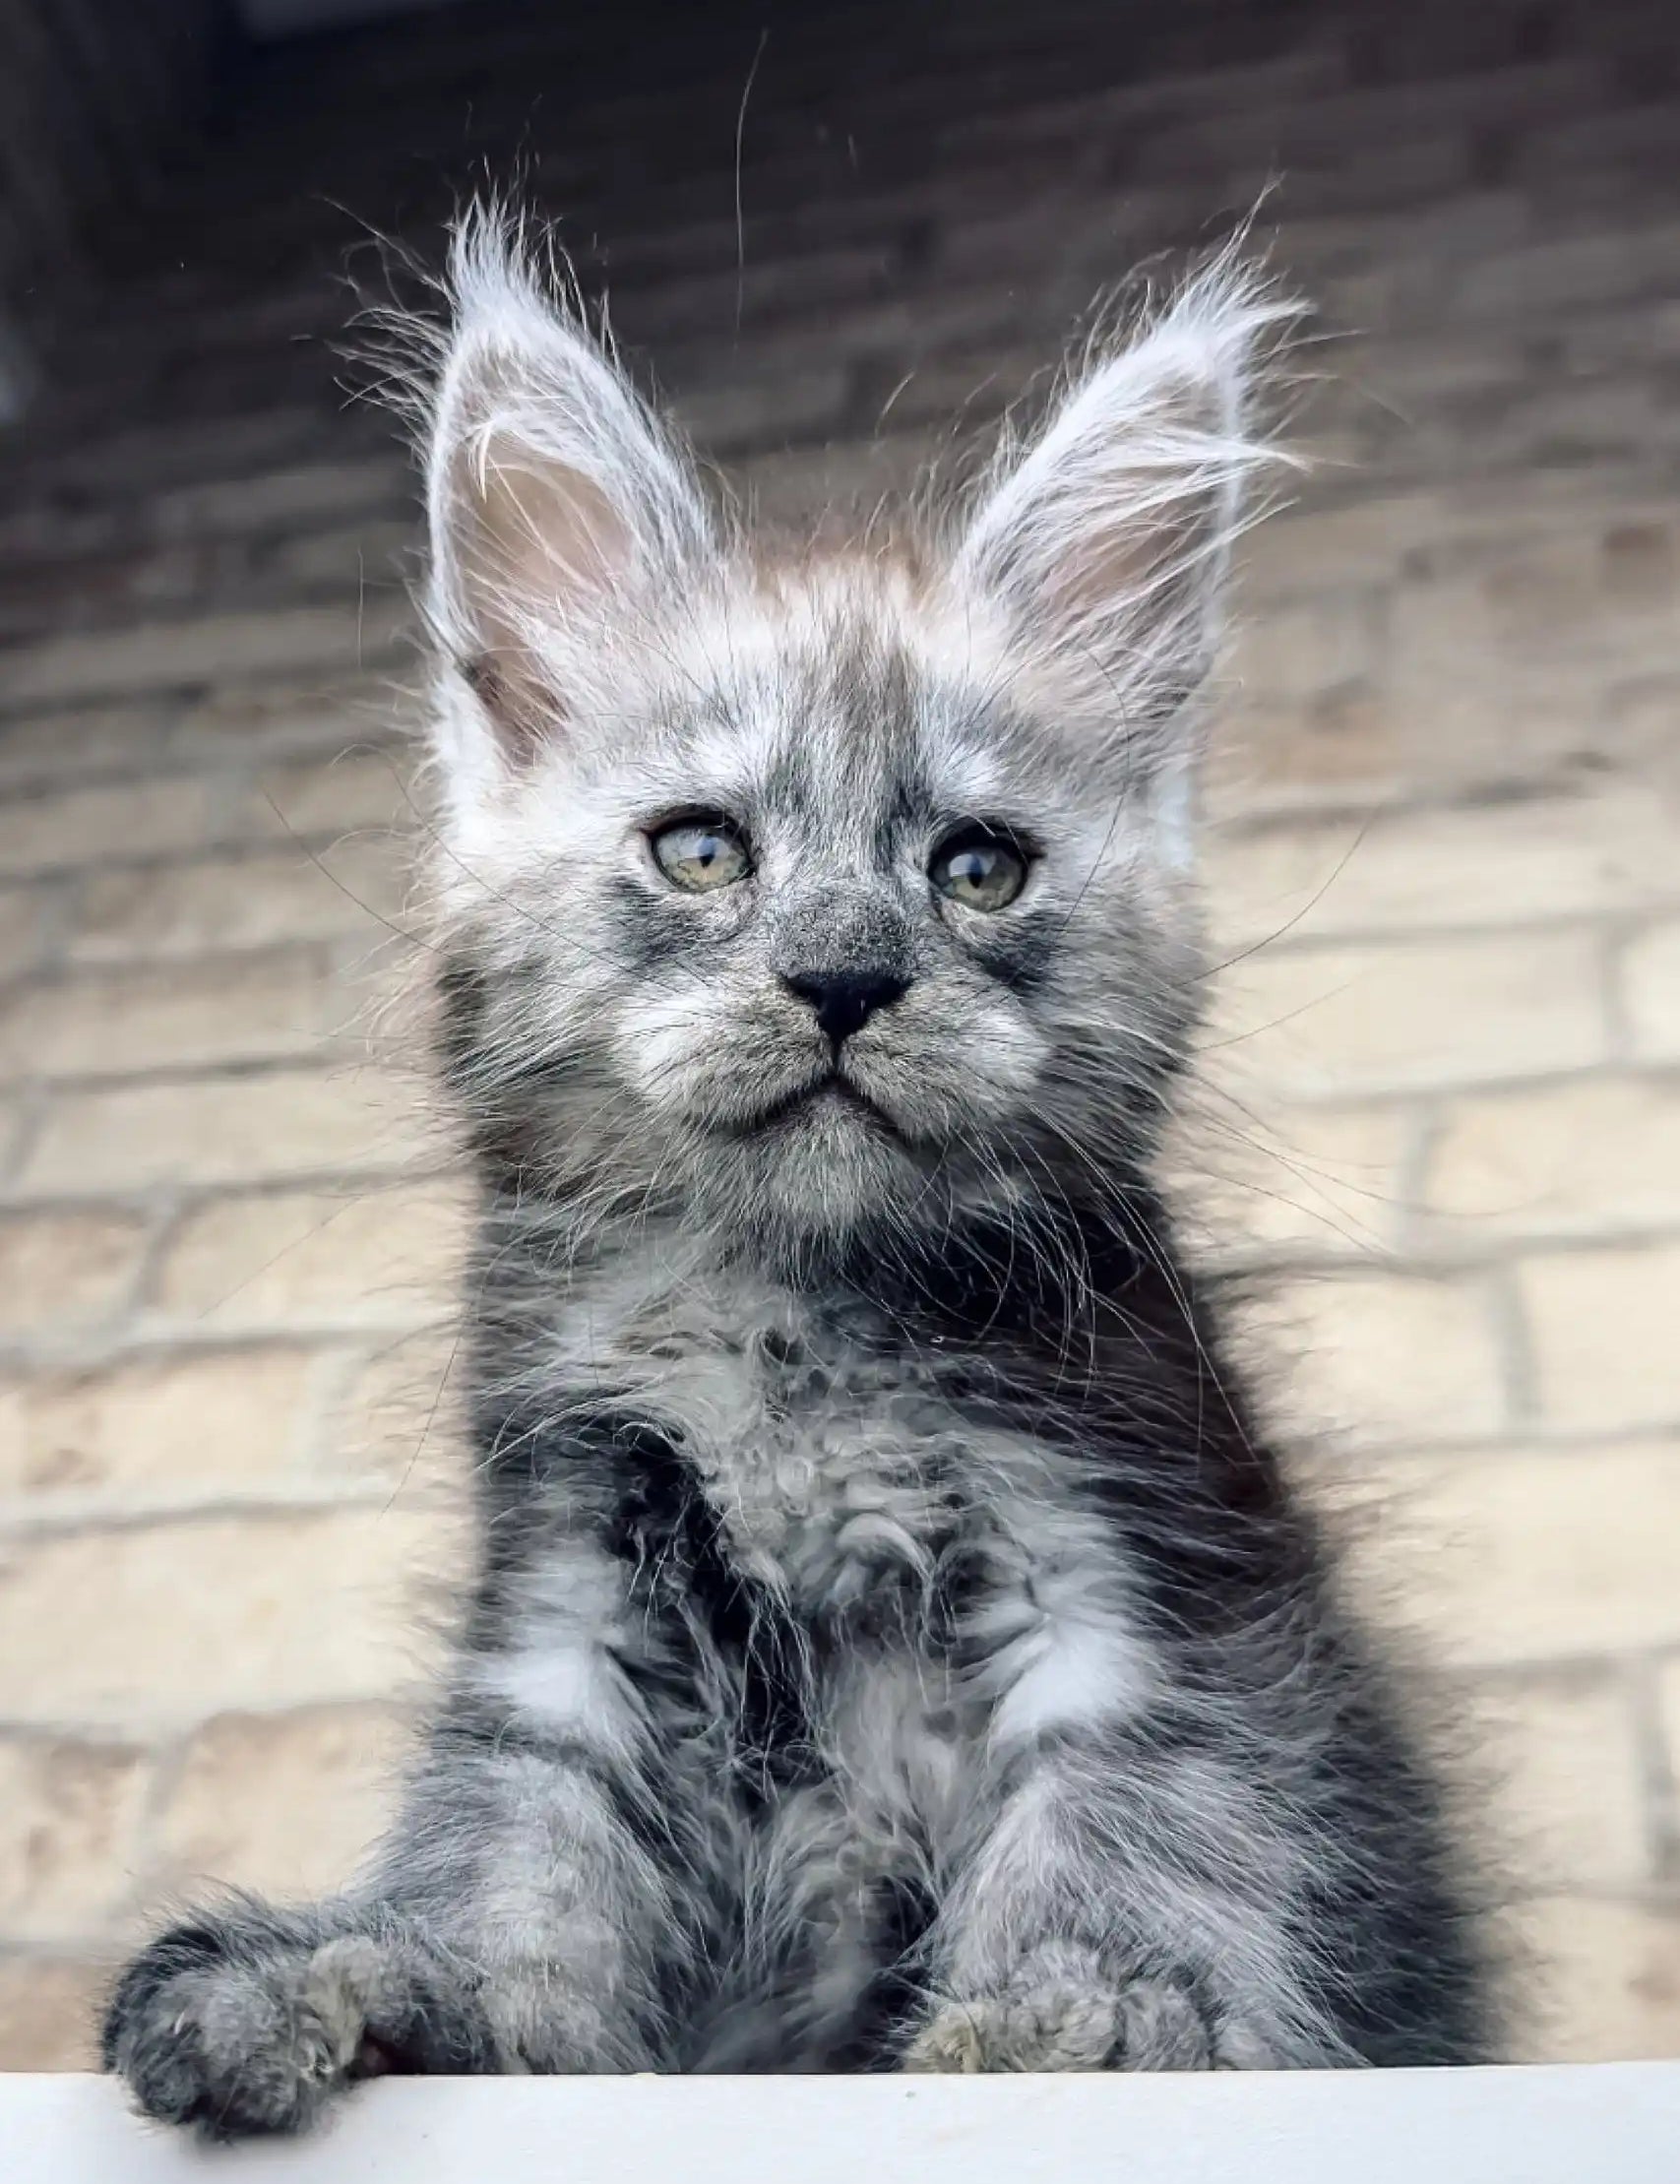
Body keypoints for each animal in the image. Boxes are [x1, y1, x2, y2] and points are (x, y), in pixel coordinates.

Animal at [101, 208, 1485, 2131]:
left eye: (976, 869)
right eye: (700, 851)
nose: (840, 976)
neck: (788, 1324)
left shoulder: (1147, 1570)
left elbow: (1135, 1815)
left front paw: (1081, 2014)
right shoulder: (575, 1596)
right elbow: (512, 1850)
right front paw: (368, 1975)